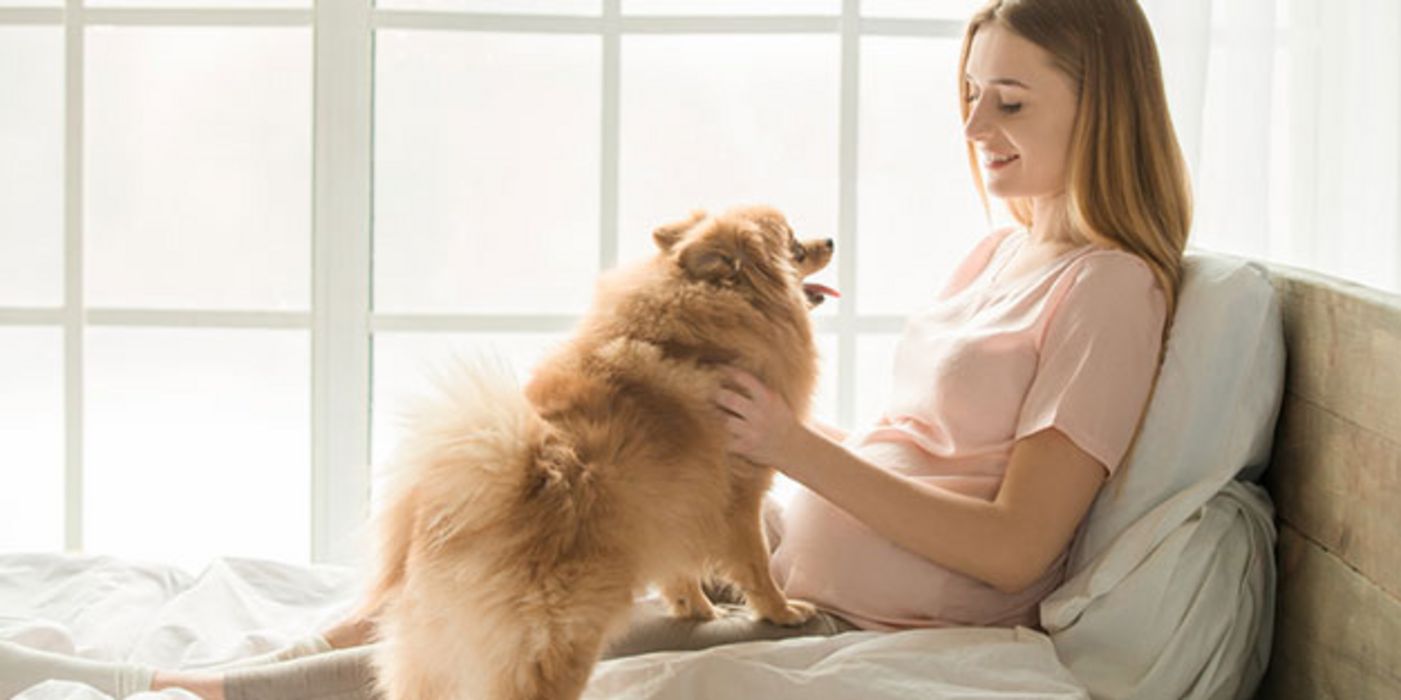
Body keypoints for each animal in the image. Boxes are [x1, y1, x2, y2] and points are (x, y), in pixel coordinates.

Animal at [367, 204, 834, 700]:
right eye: (795, 247)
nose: (830, 240)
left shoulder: (674, 510)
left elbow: (679, 571)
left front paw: (698, 609)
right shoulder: (739, 495)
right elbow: (757, 565)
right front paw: (782, 611)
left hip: (434, 657)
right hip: (562, 638)